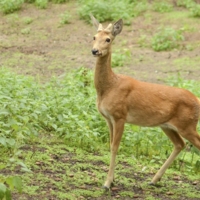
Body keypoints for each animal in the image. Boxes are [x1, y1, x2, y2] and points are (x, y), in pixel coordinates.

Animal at [90, 14, 200, 189]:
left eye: (108, 39)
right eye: (94, 37)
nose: (95, 51)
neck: (109, 87)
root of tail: (197, 99)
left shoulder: (120, 116)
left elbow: (115, 147)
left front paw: (107, 183)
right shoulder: (108, 118)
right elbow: (110, 145)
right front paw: (111, 180)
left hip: (188, 125)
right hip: (167, 125)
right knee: (180, 144)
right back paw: (154, 180)